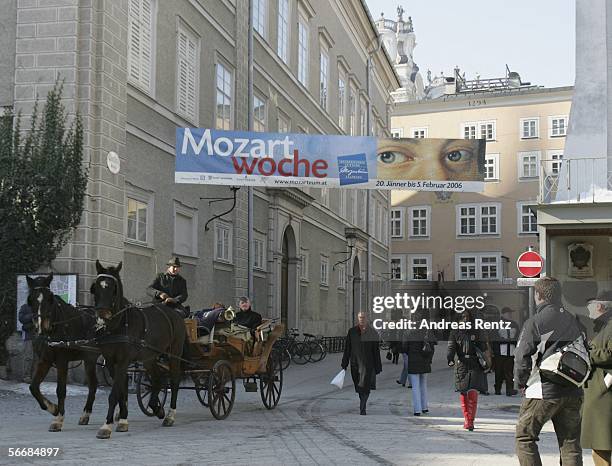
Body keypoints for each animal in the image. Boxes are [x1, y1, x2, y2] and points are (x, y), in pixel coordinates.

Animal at [25, 274, 100, 432]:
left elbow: (61, 390)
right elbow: (33, 387)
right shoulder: (45, 360)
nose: (42, 327)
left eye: (50, 298)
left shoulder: (62, 361)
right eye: (31, 299)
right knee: (93, 385)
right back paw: (85, 415)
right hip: (90, 360)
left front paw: (58, 419)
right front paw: (53, 408)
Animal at [91, 260, 185, 438]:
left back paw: (170, 415)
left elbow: (114, 393)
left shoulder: (123, 361)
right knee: (157, 379)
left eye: (114, 288)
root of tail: (172, 311)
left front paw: (106, 426)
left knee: (174, 380)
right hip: (150, 357)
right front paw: (122, 420)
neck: (118, 325)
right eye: (96, 286)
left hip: (174, 353)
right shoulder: (110, 363)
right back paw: (156, 407)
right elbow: (121, 390)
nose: (103, 313)